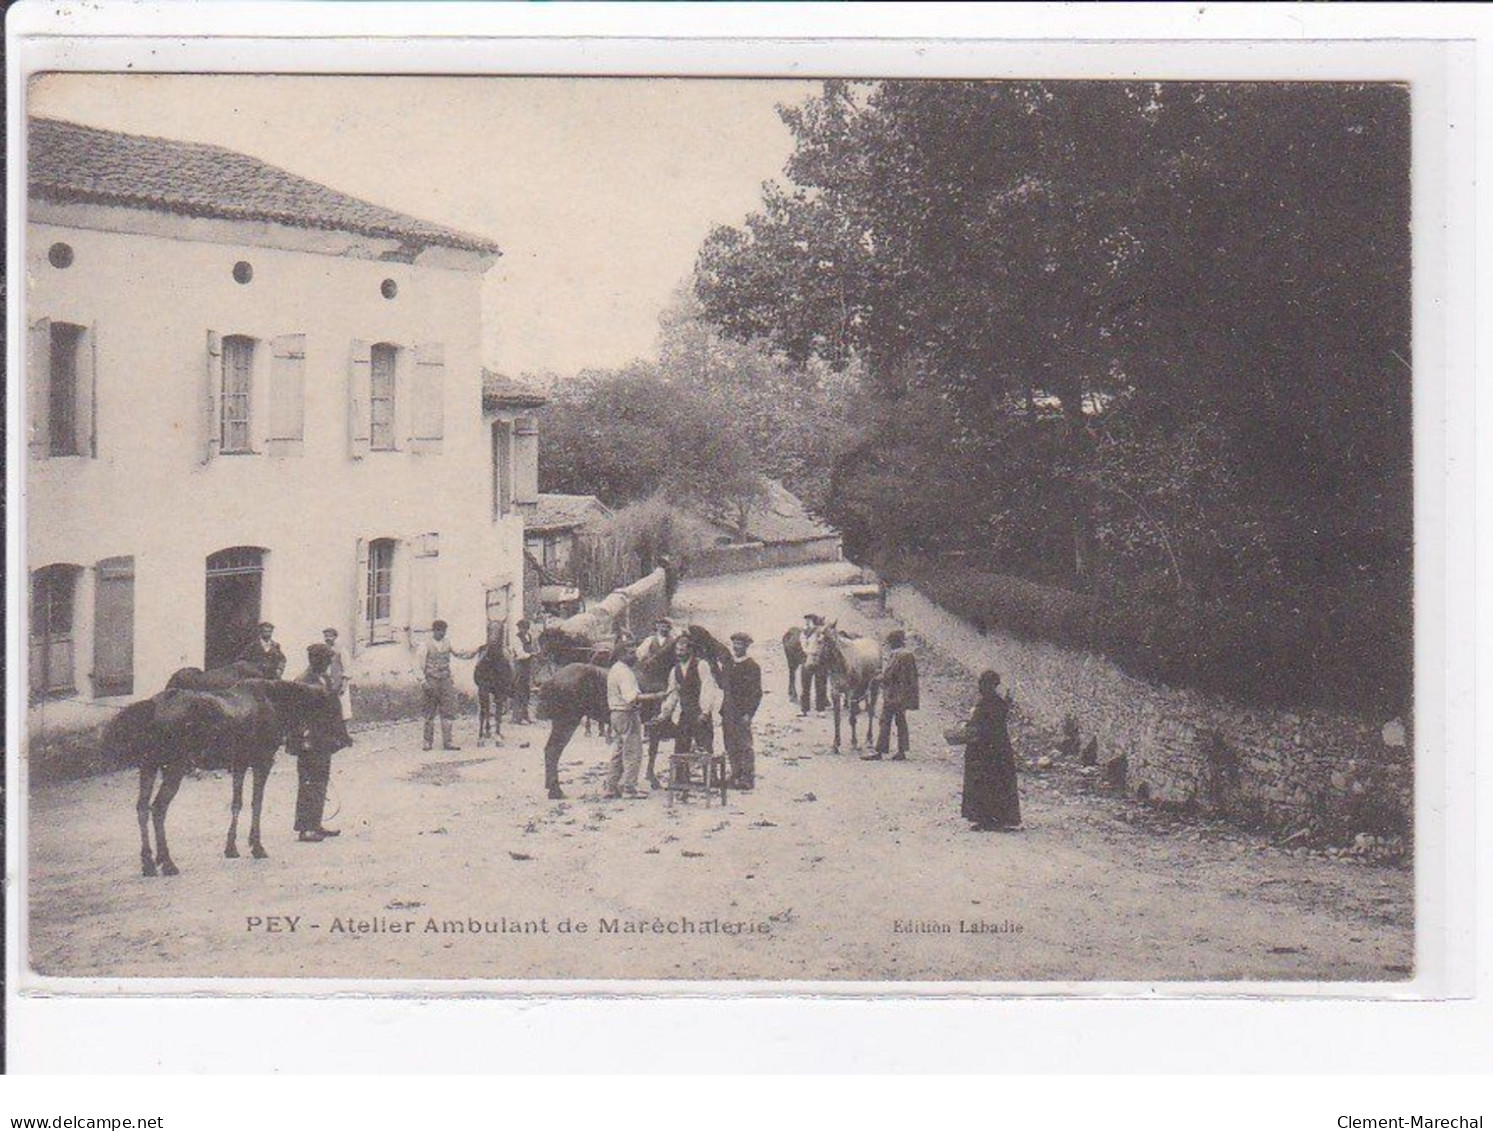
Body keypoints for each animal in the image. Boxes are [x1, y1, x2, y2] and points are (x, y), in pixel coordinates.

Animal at [102, 677, 341, 883]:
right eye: (333, 707)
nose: (342, 741)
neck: (271, 702)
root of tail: (153, 705)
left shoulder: (240, 766)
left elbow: (237, 804)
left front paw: (231, 848)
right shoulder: (262, 762)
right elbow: (256, 804)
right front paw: (257, 846)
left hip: (149, 768)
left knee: (142, 809)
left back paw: (149, 863)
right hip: (174, 769)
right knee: (158, 809)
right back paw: (167, 862)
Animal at [806, 620, 883, 752]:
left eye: (821, 641)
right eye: (808, 641)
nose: (809, 665)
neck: (841, 665)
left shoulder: (852, 693)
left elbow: (852, 719)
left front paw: (854, 742)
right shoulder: (835, 692)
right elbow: (837, 719)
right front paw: (836, 744)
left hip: (875, 686)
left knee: (871, 711)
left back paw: (869, 739)